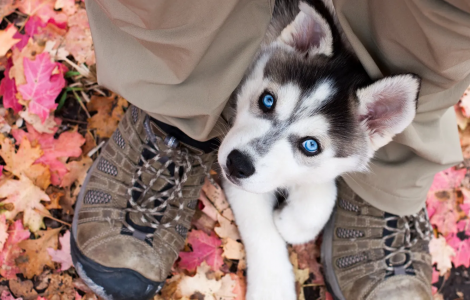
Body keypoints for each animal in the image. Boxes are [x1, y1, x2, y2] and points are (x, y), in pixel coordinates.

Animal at [218, 0, 420, 300]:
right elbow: (259, 226)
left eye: (310, 145)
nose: (237, 164)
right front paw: (272, 287)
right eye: (267, 100)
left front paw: (291, 222)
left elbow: (322, 194)